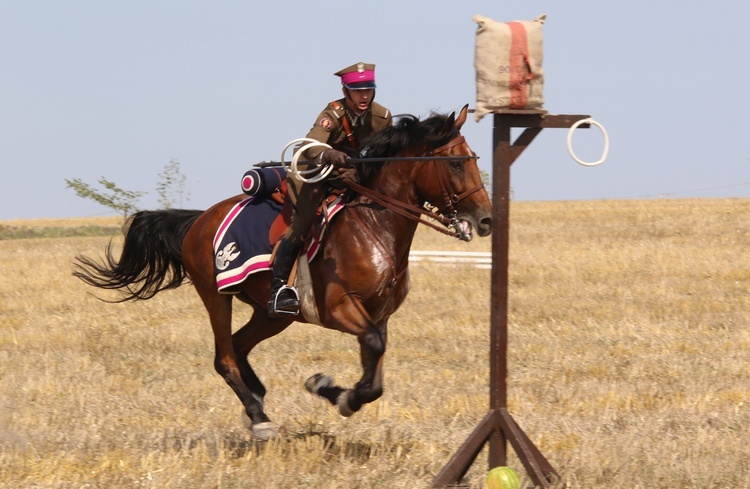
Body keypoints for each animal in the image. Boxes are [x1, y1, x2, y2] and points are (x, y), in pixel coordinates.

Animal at [76, 105, 494, 440]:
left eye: (473, 159)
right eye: (456, 163)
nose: (486, 220)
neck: (373, 225)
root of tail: (199, 220)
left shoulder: (378, 315)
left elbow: (374, 376)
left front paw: (332, 390)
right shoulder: (338, 309)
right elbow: (374, 352)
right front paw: (337, 394)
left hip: (273, 313)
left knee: (240, 346)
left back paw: (257, 396)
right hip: (216, 296)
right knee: (224, 357)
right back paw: (258, 417)